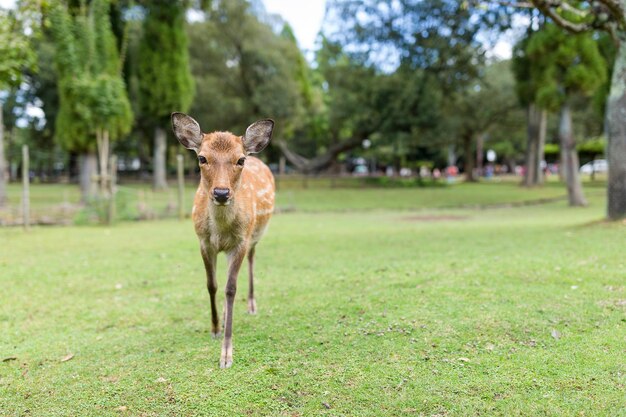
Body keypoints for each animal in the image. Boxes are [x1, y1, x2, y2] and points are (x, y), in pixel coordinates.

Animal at [169, 111, 274, 368]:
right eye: (202, 158)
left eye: (240, 160)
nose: (221, 193)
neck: (221, 230)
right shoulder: (204, 242)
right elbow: (212, 285)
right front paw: (216, 328)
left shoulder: (241, 242)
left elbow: (231, 289)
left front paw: (226, 354)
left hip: (256, 234)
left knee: (252, 260)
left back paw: (251, 305)